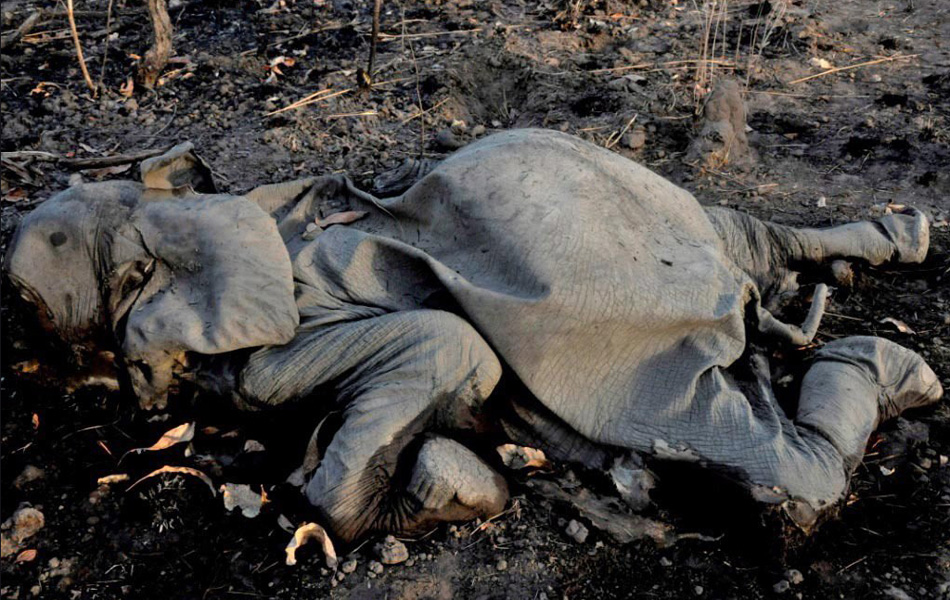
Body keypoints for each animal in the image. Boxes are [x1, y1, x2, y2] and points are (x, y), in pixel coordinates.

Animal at [4, 129, 943, 544]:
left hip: (664, 267)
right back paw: (892, 364)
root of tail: (741, 298)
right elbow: (449, 348)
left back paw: (899, 253)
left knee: (741, 238)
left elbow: (444, 343)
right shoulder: (249, 370)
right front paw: (452, 489)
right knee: (773, 473)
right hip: (673, 367)